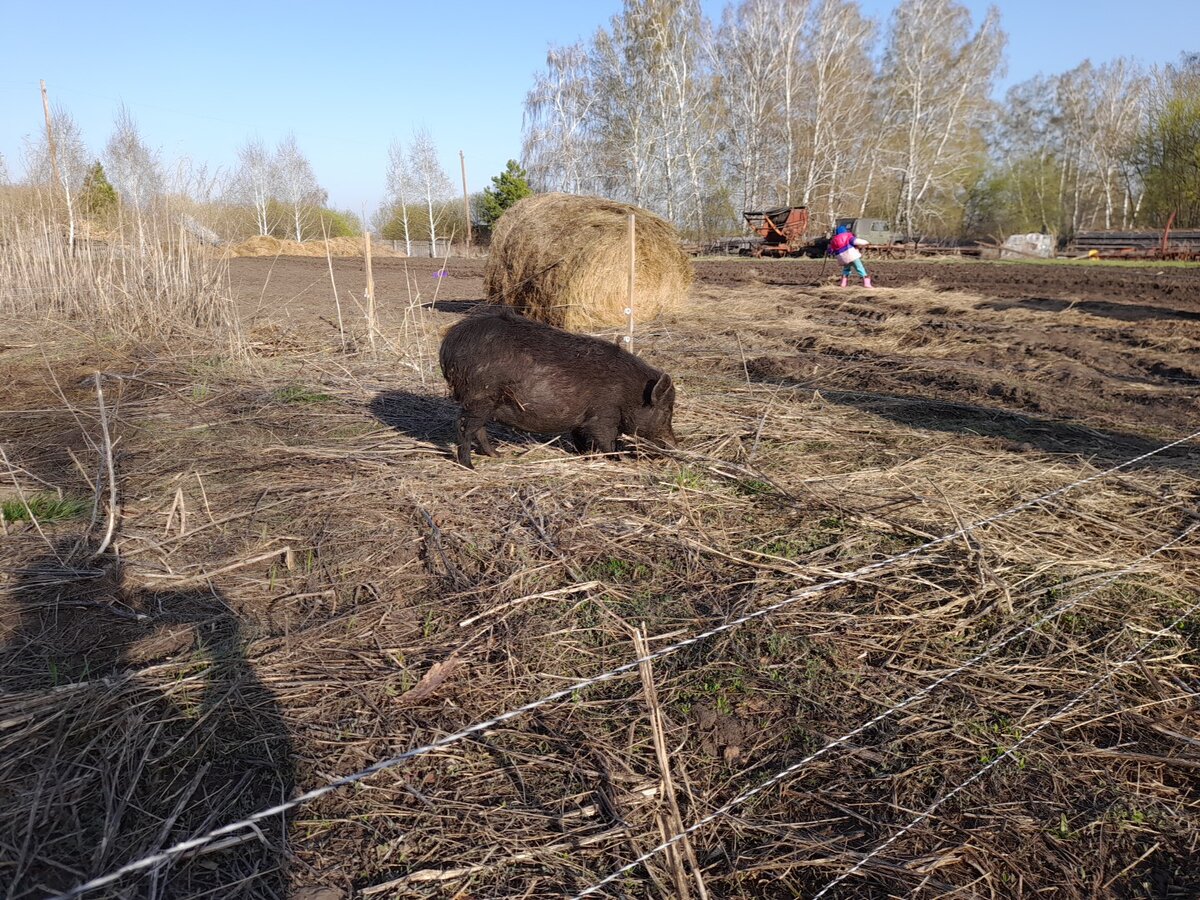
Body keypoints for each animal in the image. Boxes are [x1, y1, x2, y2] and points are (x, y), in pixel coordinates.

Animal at [436, 307, 676, 468]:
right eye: (666, 411)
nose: (673, 444)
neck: (630, 393)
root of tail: (450, 342)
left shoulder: (582, 421)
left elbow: (581, 438)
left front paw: (584, 455)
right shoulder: (604, 415)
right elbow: (608, 440)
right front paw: (618, 460)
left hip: (483, 402)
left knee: (479, 429)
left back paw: (497, 455)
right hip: (480, 396)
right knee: (464, 426)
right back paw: (469, 465)